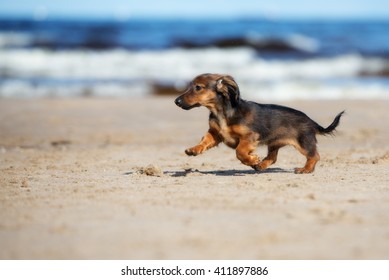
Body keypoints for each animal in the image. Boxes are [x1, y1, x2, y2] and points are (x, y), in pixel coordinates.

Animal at [174, 73, 344, 173]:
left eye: (198, 87)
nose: (176, 101)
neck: (222, 113)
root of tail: (311, 121)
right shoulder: (215, 134)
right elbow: (204, 141)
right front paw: (193, 149)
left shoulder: (250, 136)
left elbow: (240, 151)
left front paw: (251, 159)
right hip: (274, 143)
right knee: (272, 158)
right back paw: (260, 165)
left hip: (303, 143)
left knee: (314, 156)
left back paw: (305, 169)